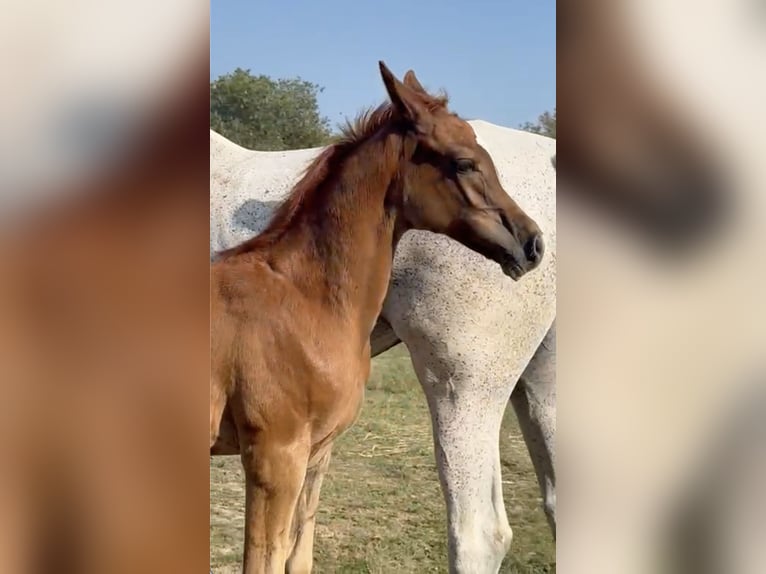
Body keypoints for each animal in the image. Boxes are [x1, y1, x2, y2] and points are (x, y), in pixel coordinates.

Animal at [210, 60, 544, 572]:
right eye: (464, 163)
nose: (533, 244)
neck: (305, 296)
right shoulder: (274, 456)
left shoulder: (314, 453)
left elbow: (297, 557)